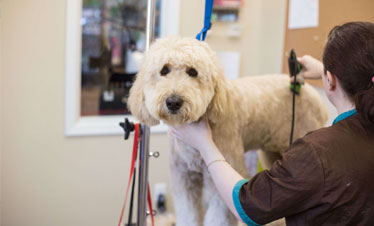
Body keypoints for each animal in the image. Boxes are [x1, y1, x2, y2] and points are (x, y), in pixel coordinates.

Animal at [129, 37, 328, 226]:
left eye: (193, 72)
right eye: (164, 70)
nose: (173, 102)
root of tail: (310, 92)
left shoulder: (223, 177)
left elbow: (219, 217)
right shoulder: (184, 178)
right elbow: (188, 214)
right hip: (273, 153)